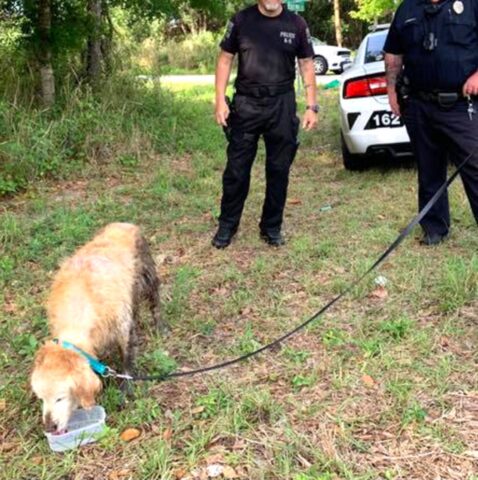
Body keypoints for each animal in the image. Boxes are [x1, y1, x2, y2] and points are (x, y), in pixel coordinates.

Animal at [30, 223, 168, 434]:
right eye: (41, 398)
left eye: (60, 397)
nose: (50, 427)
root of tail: (125, 223)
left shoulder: (123, 327)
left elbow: (127, 361)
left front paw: (126, 389)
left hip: (147, 277)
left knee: (155, 302)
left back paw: (160, 326)